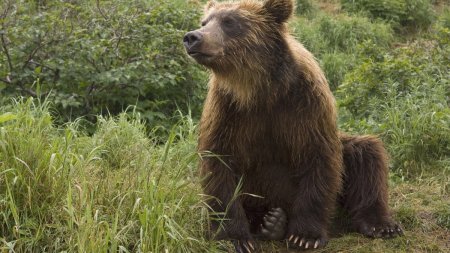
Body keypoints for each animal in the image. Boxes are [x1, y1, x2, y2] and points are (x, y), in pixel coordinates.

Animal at [183, 0, 400, 252]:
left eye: (230, 22)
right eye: (205, 22)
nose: (192, 37)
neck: (260, 90)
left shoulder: (305, 104)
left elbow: (318, 158)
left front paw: (305, 236)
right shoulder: (227, 111)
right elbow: (220, 166)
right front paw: (235, 237)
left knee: (367, 153)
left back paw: (379, 224)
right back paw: (271, 223)